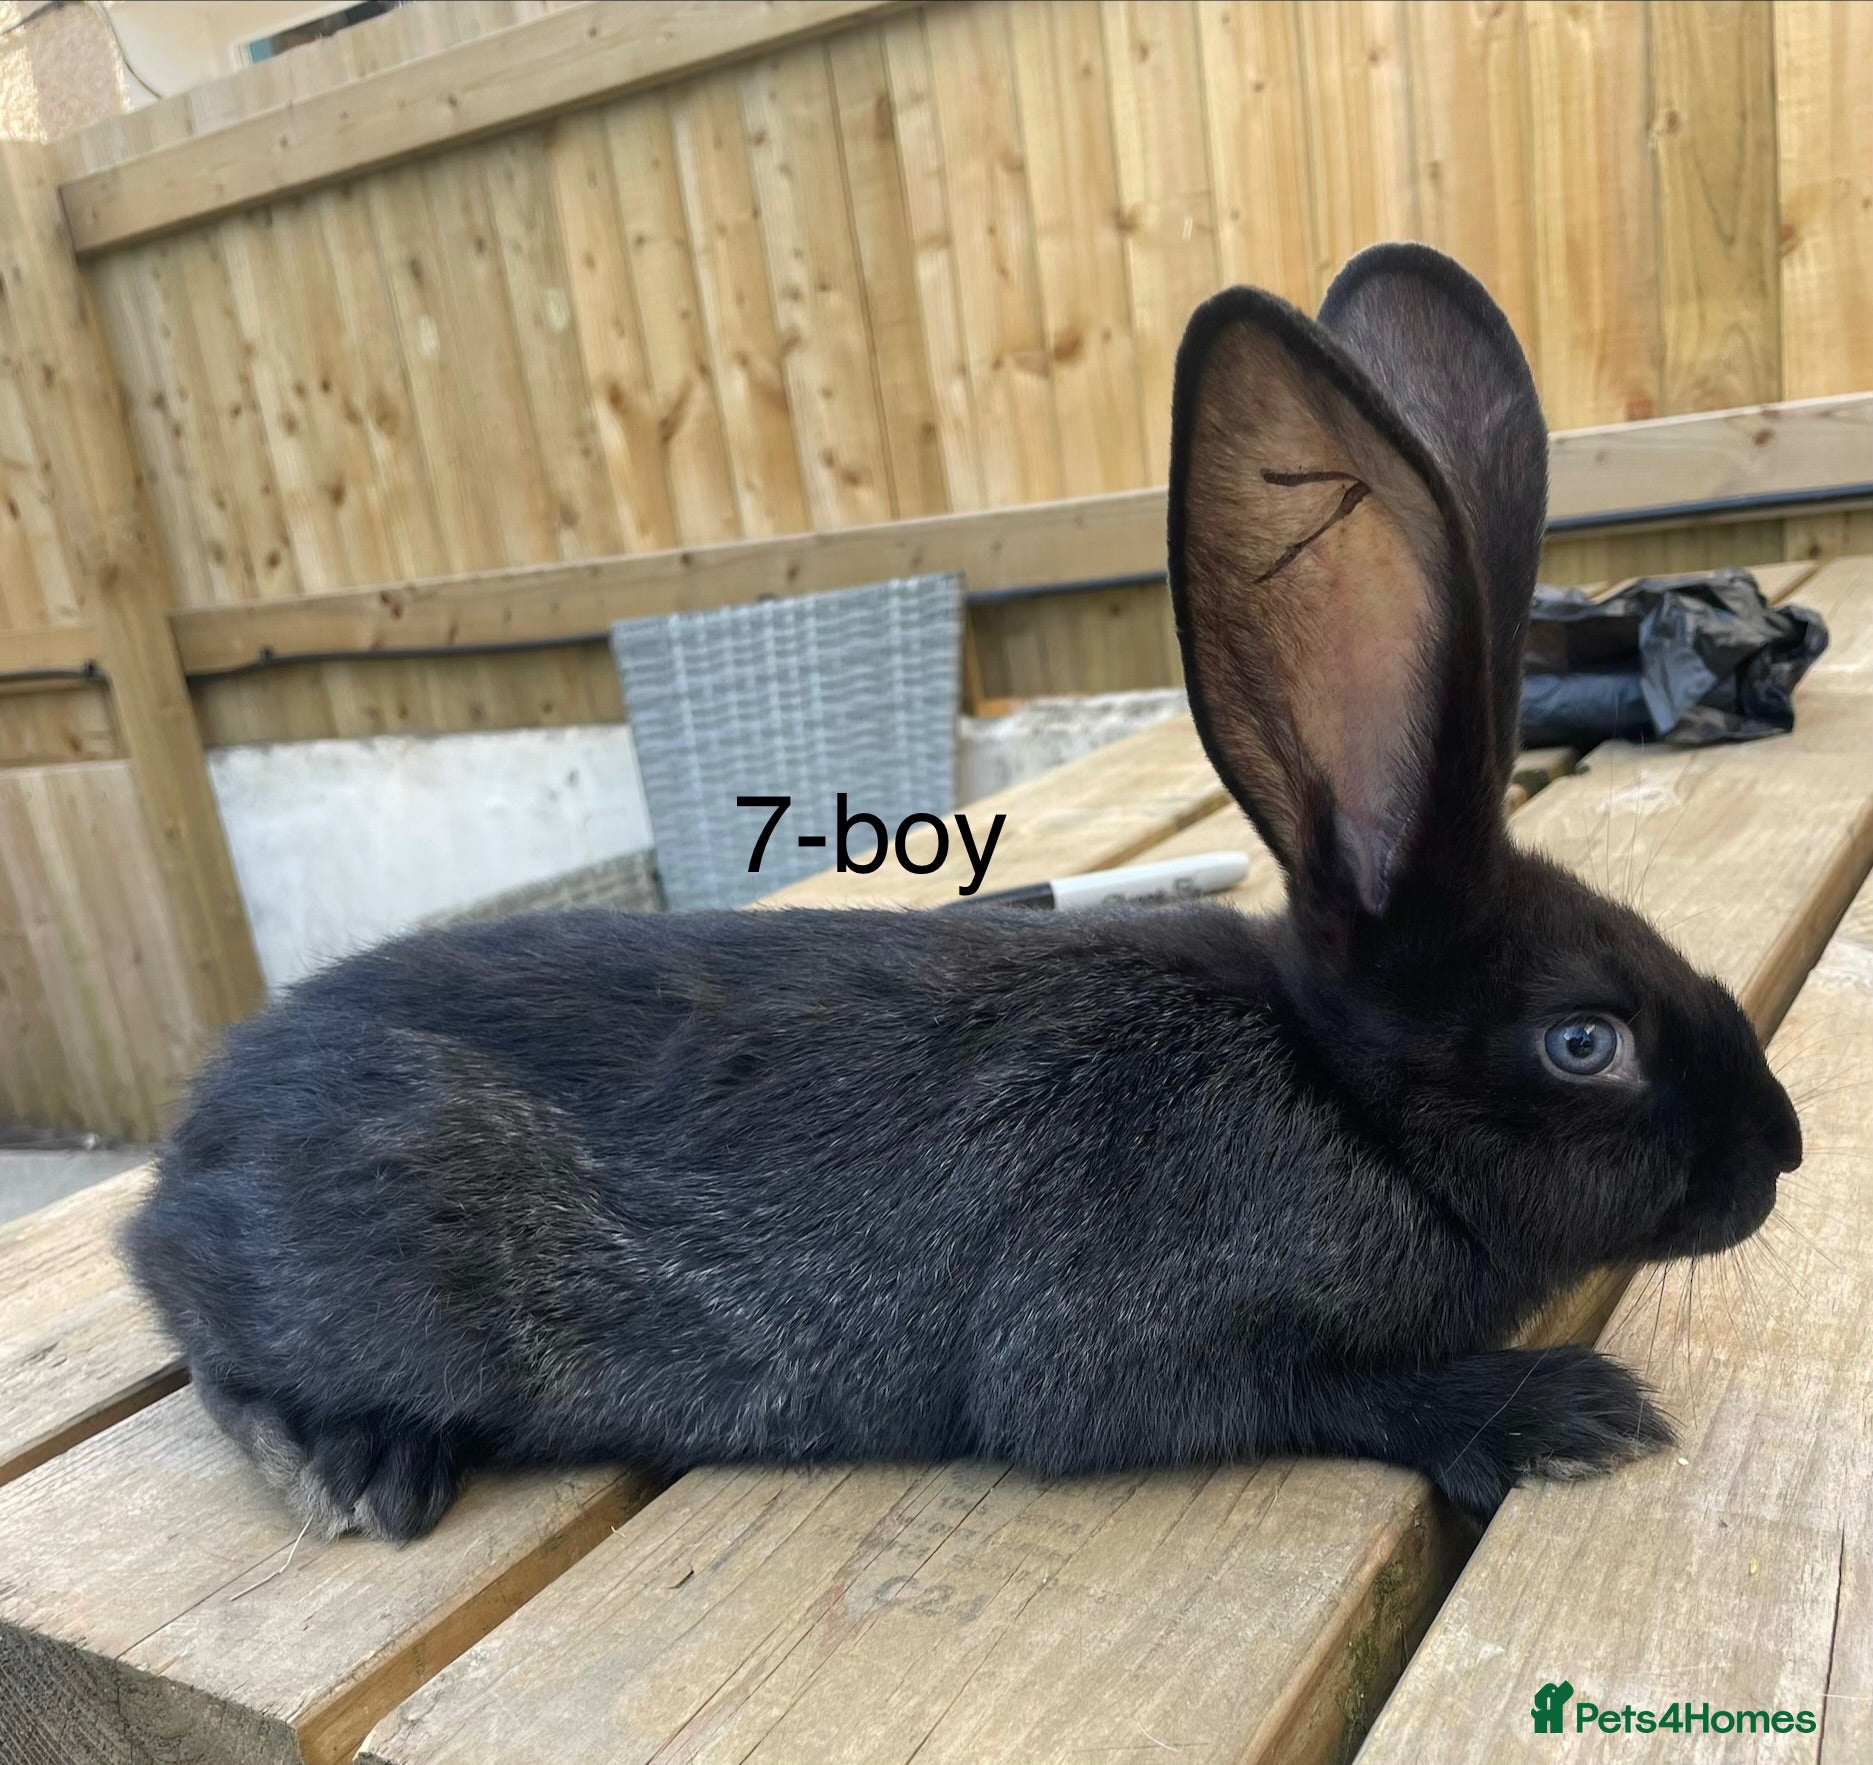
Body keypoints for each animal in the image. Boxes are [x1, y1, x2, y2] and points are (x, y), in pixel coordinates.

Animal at [128, 244, 1802, 1544]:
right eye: (1583, 1042)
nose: (1779, 1154)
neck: (1342, 1102)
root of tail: (192, 1148)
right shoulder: (1127, 1360)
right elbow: (1328, 1392)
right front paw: (1569, 1412)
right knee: (202, 1336)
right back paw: (353, 1463)